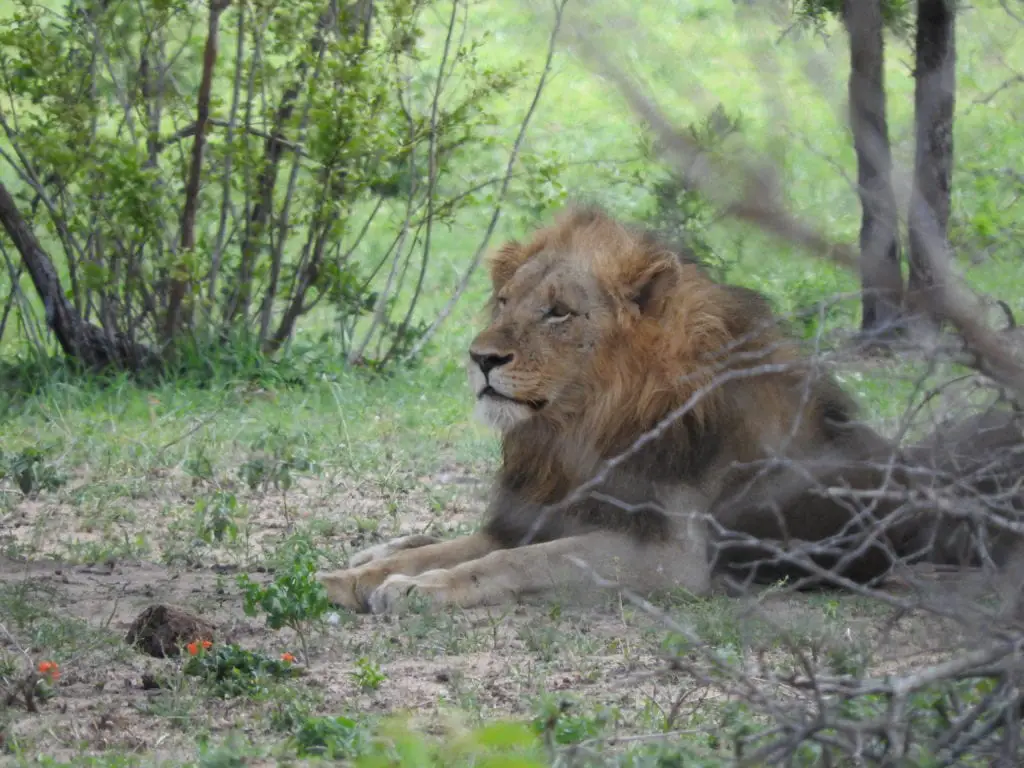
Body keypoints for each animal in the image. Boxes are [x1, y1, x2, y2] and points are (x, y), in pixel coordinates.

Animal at [319, 204, 942, 614]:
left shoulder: (671, 560)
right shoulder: (535, 513)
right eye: (504, 300)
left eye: (559, 312)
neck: (579, 429)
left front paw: (419, 588)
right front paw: (354, 577)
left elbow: (519, 561)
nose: (481, 358)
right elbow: (453, 549)